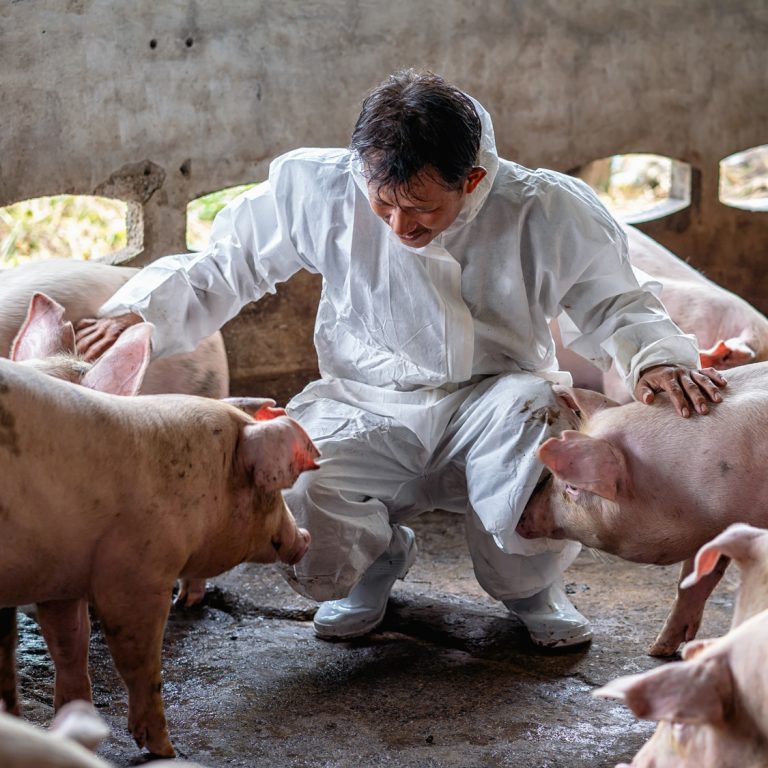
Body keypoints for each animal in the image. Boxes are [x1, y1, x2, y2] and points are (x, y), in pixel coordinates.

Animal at [0, 330, 316, 756]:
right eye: (271, 490)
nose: (305, 537)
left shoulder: (61, 577)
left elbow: (70, 646)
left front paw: (77, 725)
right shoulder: (136, 574)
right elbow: (139, 661)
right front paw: (166, 750)